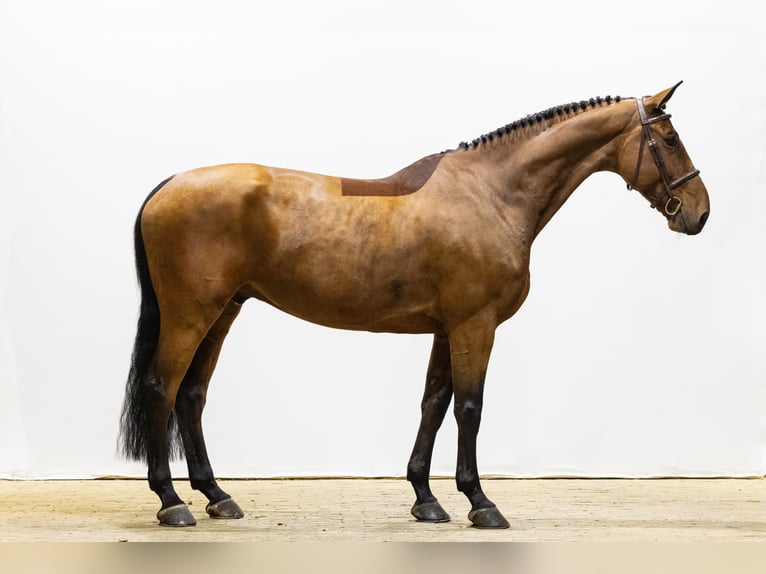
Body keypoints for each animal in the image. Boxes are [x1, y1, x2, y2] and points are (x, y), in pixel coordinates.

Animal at [119, 82, 709, 529]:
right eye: (670, 138)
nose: (698, 213)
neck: (491, 193)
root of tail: (170, 185)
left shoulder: (447, 329)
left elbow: (433, 403)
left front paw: (426, 499)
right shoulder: (475, 326)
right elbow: (469, 408)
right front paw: (481, 503)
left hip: (223, 312)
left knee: (192, 395)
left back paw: (217, 496)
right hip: (190, 315)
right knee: (161, 388)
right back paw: (171, 502)